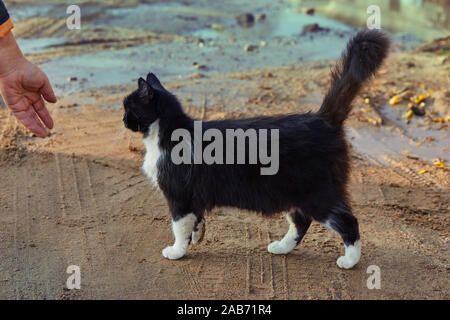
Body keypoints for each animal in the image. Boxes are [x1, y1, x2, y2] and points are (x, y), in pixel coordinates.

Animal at [123, 30, 390, 270]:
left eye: (128, 107)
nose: (123, 120)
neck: (167, 133)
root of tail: (322, 118)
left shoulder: (178, 196)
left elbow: (178, 226)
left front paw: (176, 251)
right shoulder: (192, 197)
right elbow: (195, 220)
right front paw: (197, 236)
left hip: (317, 193)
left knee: (347, 221)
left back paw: (349, 261)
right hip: (292, 192)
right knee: (301, 221)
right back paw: (282, 247)